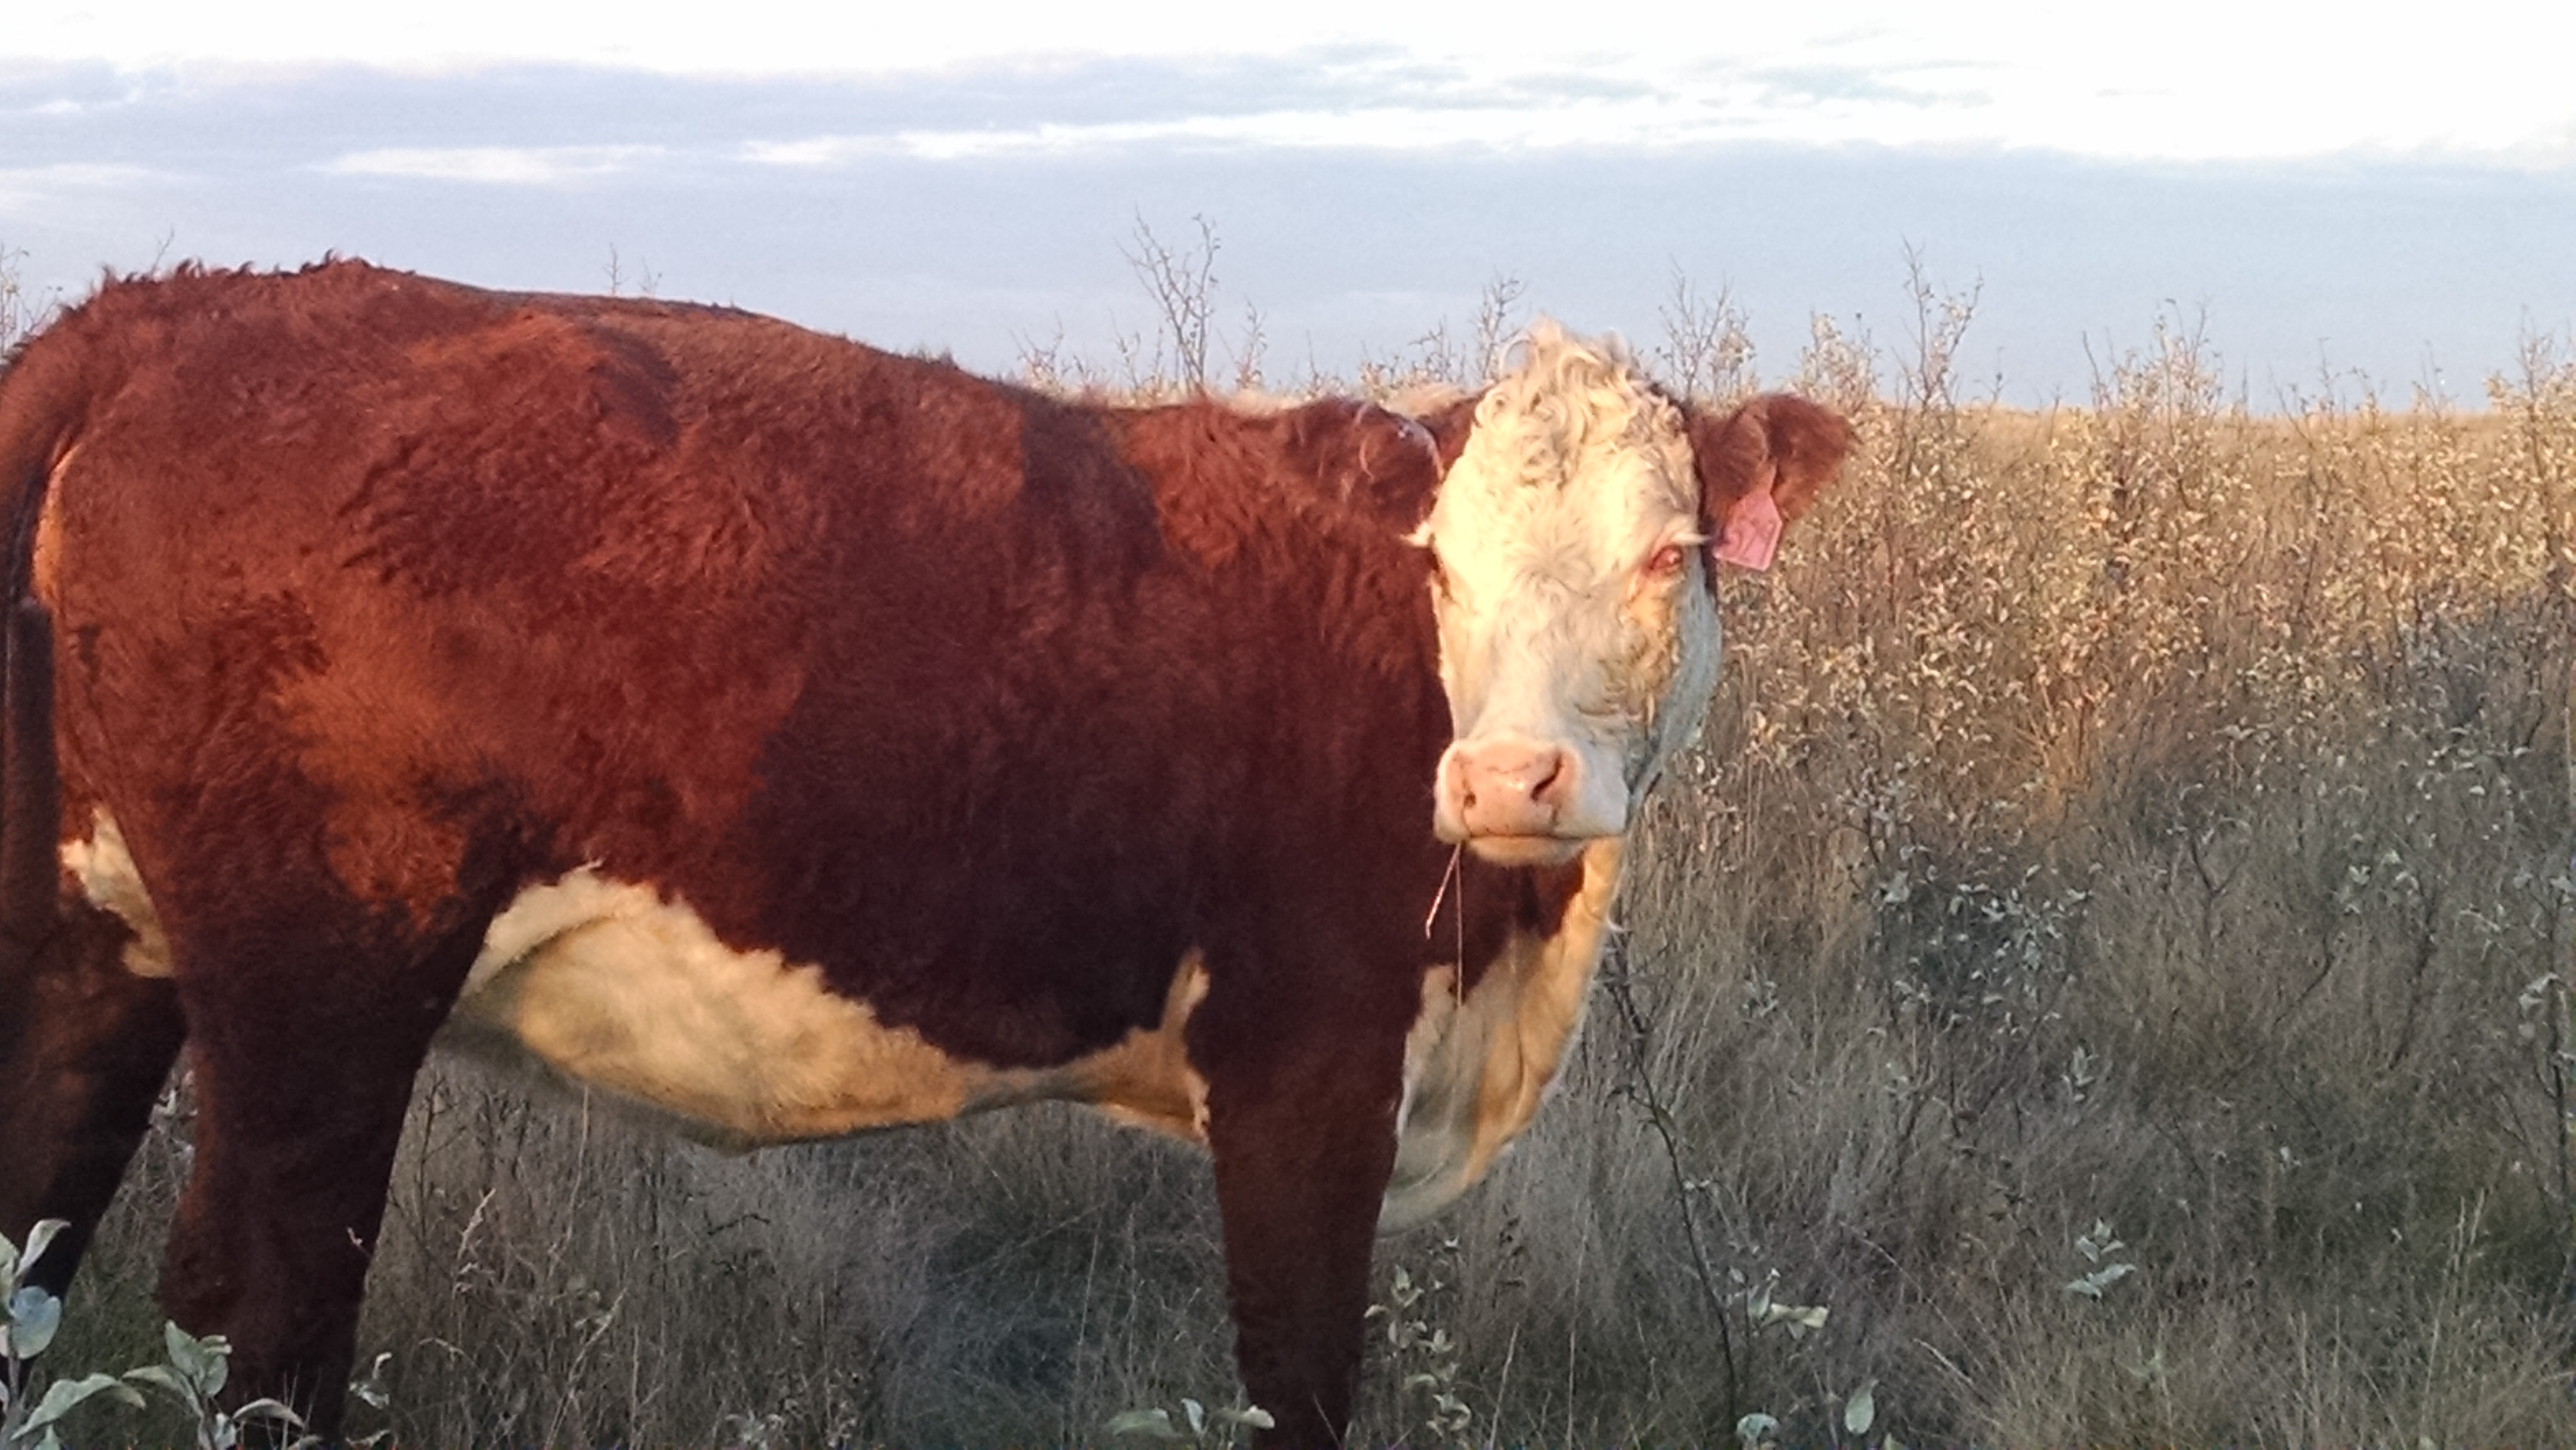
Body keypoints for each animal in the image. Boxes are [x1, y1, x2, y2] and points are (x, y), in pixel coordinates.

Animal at [0, 264, 1854, 1450]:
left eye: (1670, 551)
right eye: (1441, 561)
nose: (1508, 774)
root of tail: (169, 313)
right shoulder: (1305, 1065)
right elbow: (1298, 1379)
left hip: (98, 945)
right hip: (323, 982)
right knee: (260, 1326)